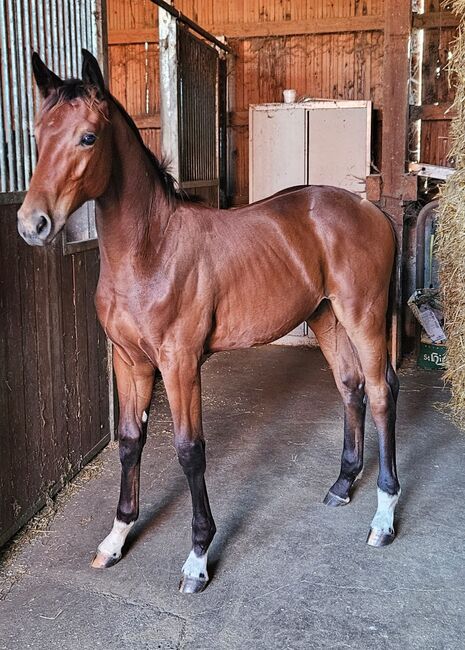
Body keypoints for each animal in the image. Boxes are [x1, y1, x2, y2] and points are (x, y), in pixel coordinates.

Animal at [17, 53, 398, 592]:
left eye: (88, 137)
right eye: (37, 134)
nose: (33, 225)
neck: (150, 251)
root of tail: (370, 208)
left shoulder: (180, 364)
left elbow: (189, 450)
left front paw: (198, 556)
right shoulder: (130, 362)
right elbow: (130, 442)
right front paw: (116, 538)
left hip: (363, 315)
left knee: (381, 393)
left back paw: (383, 518)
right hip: (326, 318)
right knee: (352, 387)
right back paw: (343, 485)